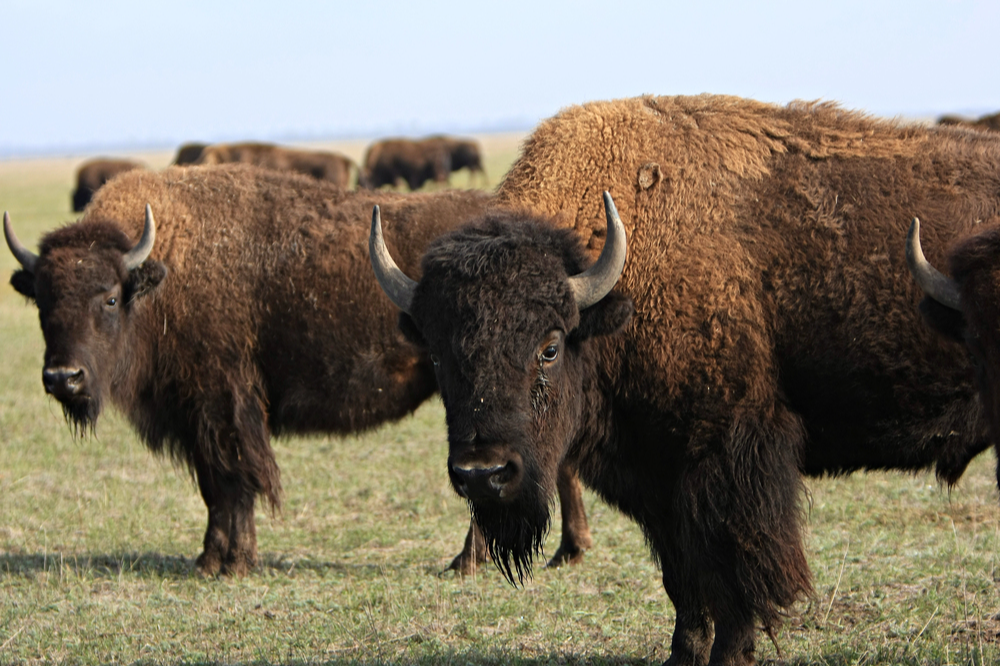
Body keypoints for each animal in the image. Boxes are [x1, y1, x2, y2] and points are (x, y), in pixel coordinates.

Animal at [6, 164, 498, 576]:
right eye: (42, 300)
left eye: (110, 297)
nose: (63, 377)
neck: (162, 273)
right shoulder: (195, 419)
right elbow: (214, 489)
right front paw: (208, 560)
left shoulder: (224, 407)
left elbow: (236, 481)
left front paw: (235, 563)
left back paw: (465, 563)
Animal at [371, 95, 1000, 665]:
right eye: (436, 355)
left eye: (549, 347)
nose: (483, 473)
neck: (622, 279)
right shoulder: (655, 475)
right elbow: (683, 578)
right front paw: (683, 653)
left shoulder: (728, 457)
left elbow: (735, 568)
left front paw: (732, 652)